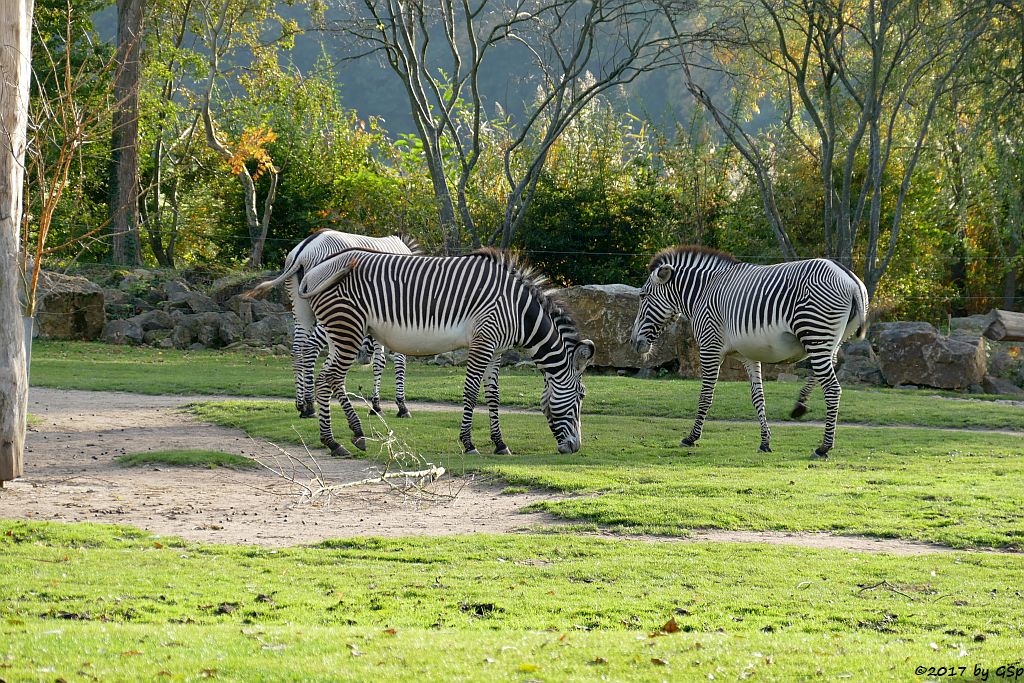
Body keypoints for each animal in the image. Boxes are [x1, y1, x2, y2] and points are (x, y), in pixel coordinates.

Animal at [245, 229, 417, 419]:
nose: (363, 357)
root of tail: (303, 250)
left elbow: (380, 362)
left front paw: (376, 406)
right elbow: (398, 361)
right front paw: (401, 406)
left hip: (302, 307)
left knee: (297, 349)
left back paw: (302, 406)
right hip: (330, 307)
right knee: (310, 347)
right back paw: (310, 405)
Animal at [296, 248, 598, 456]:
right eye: (581, 396)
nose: (575, 448)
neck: (520, 312)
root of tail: (314, 270)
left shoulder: (496, 350)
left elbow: (493, 397)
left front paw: (500, 444)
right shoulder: (483, 342)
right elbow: (471, 392)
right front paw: (468, 443)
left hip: (340, 333)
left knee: (329, 379)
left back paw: (348, 436)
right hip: (347, 328)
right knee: (328, 379)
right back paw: (336, 441)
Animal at [626, 245, 868, 458]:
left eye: (643, 296)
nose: (633, 342)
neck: (702, 292)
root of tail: (849, 278)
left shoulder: (710, 347)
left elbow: (705, 396)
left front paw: (691, 437)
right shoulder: (748, 355)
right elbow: (758, 397)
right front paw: (765, 442)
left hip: (816, 334)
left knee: (833, 389)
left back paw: (823, 447)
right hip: (830, 340)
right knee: (828, 367)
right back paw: (800, 406)